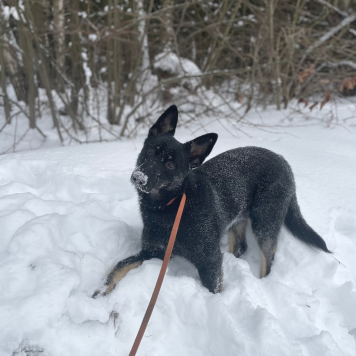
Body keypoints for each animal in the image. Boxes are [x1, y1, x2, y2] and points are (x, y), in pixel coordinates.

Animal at [92, 105, 330, 298]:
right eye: (150, 150)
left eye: (170, 165)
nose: (139, 177)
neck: (171, 206)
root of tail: (284, 162)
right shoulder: (152, 251)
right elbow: (121, 264)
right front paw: (102, 288)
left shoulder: (209, 259)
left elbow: (213, 288)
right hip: (236, 216)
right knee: (240, 246)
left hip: (264, 222)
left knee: (268, 260)